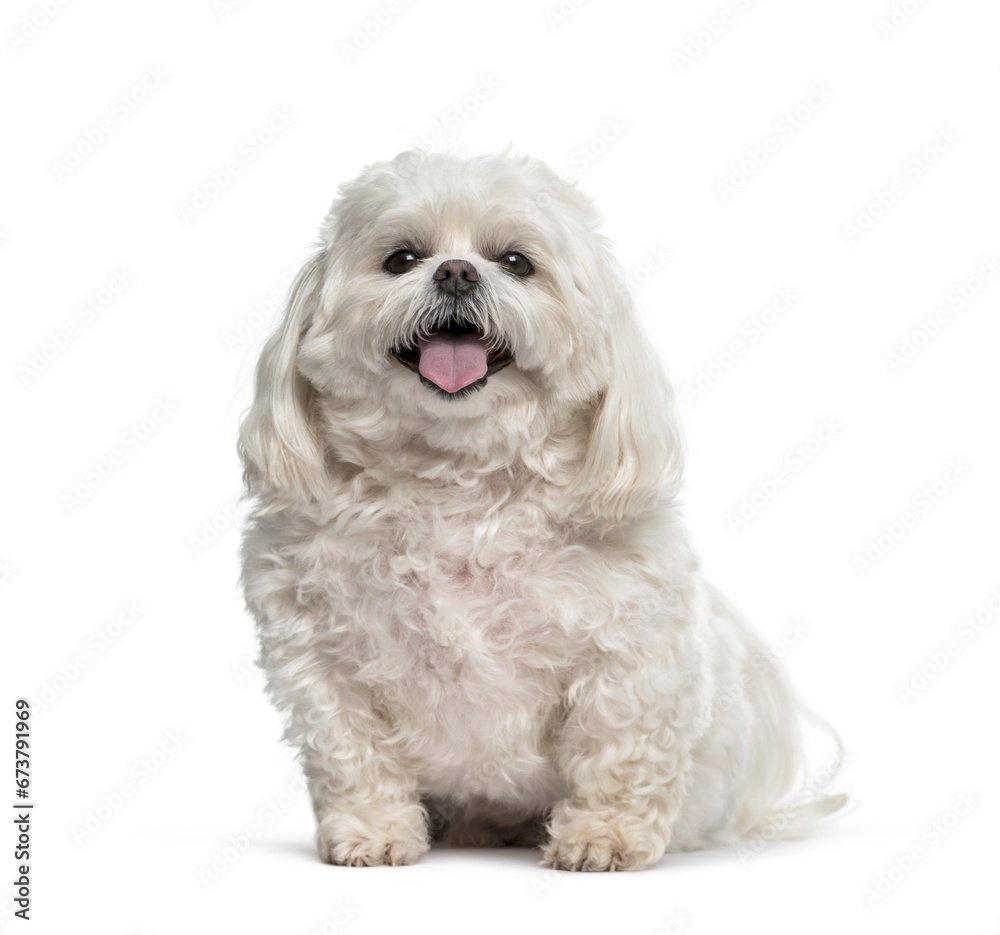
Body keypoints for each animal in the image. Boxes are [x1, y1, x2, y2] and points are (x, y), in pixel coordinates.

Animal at [240, 148, 844, 872]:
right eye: (401, 258)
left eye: (516, 262)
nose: (456, 271)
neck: (457, 482)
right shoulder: (320, 663)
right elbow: (351, 752)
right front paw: (373, 831)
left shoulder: (633, 659)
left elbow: (617, 750)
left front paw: (602, 837)